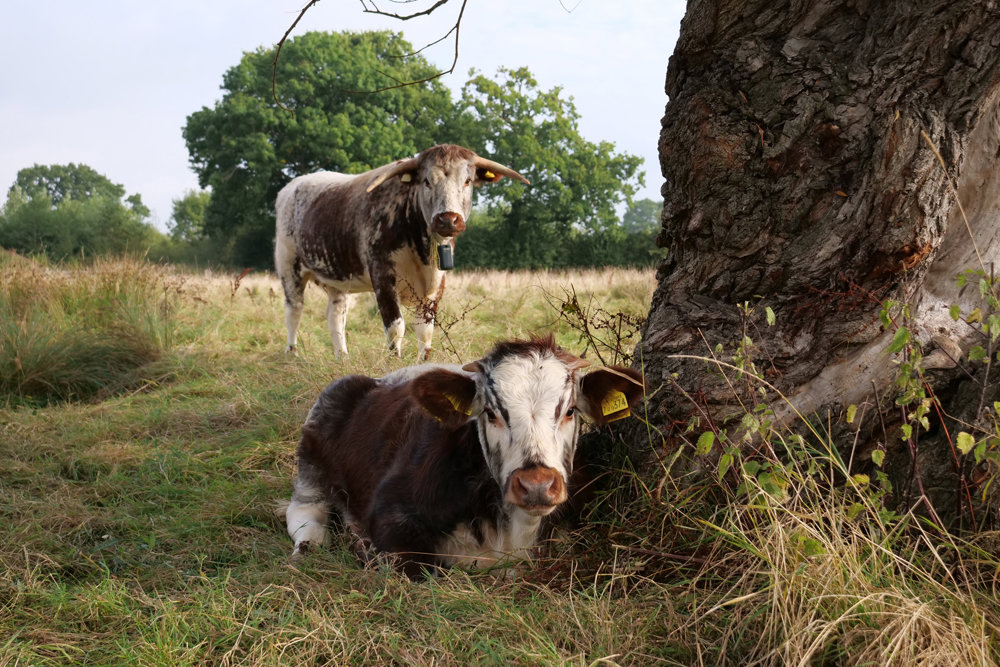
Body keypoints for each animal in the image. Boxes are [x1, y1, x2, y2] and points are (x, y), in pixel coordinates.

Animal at [274, 144, 530, 360]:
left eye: (467, 180)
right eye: (426, 181)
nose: (448, 219)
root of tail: (291, 187)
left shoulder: (435, 284)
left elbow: (425, 330)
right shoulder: (382, 277)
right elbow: (396, 327)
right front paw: (394, 364)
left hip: (337, 278)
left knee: (336, 315)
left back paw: (342, 358)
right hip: (289, 266)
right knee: (294, 310)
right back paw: (291, 353)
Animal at [283, 335, 644, 578]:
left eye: (570, 411)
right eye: (490, 413)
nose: (537, 485)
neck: (513, 531)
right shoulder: (391, 511)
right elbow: (415, 566)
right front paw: (364, 546)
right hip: (312, 459)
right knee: (305, 514)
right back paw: (309, 546)